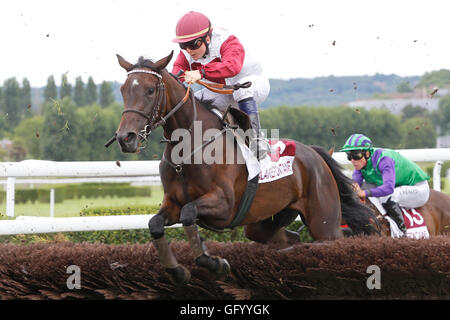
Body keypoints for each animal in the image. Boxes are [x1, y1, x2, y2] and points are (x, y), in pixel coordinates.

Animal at [111, 52, 376, 284]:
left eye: (150, 90)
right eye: (124, 90)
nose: (126, 138)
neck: (189, 149)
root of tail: (315, 155)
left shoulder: (225, 205)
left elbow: (189, 213)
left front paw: (216, 263)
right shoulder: (172, 203)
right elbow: (155, 224)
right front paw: (178, 271)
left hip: (324, 222)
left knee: (331, 241)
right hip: (264, 222)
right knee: (290, 238)